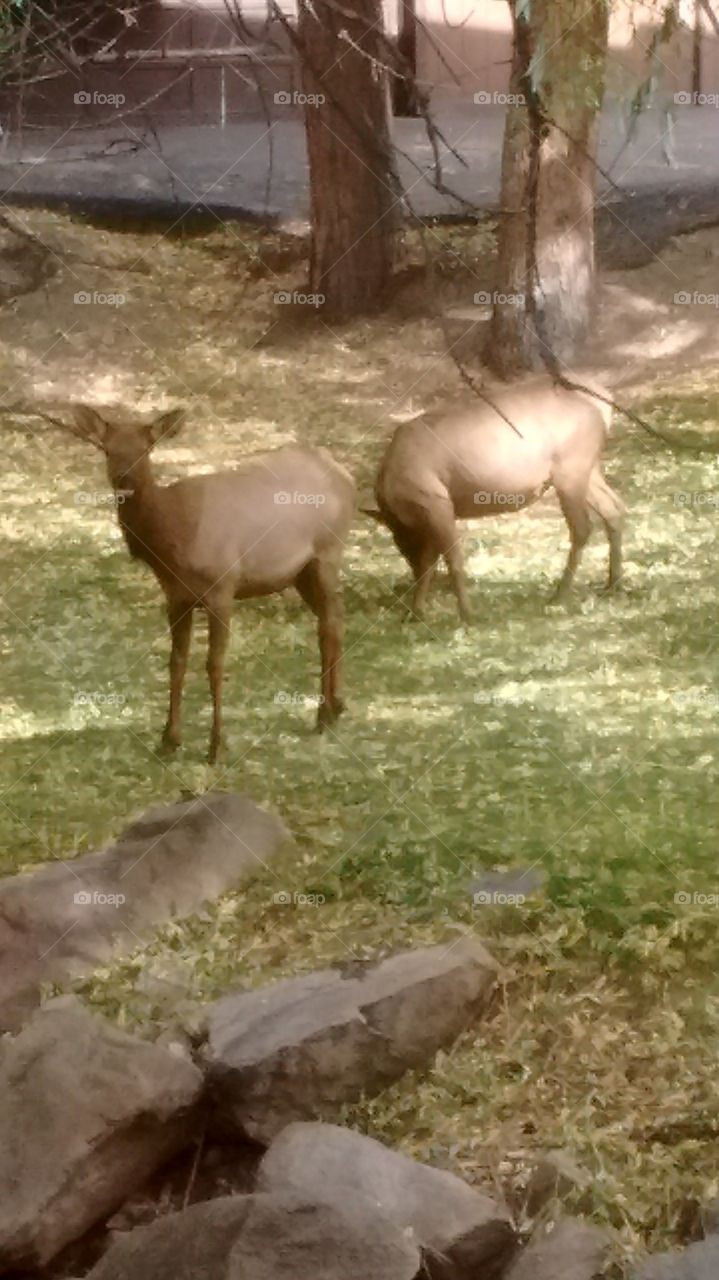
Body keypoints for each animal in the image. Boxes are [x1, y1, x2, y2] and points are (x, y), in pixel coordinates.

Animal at [69, 405, 355, 763]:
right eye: (107, 449)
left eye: (146, 449)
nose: (124, 479)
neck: (173, 542)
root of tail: (347, 476)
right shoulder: (175, 596)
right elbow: (176, 662)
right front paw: (169, 740)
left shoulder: (222, 588)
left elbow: (214, 664)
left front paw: (217, 746)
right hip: (300, 573)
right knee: (333, 618)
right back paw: (335, 706)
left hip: (328, 552)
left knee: (329, 622)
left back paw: (325, 713)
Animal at [365, 375, 625, 623]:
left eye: (401, 543)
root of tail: (604, 406)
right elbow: (431, 562)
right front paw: (415, 612)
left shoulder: (436, 502)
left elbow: (452, 561)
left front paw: (466, 614)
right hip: (587, 469)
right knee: (614, 507)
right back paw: (613, 583)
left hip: (569, 471)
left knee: (582, 527)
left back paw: (560, 595)